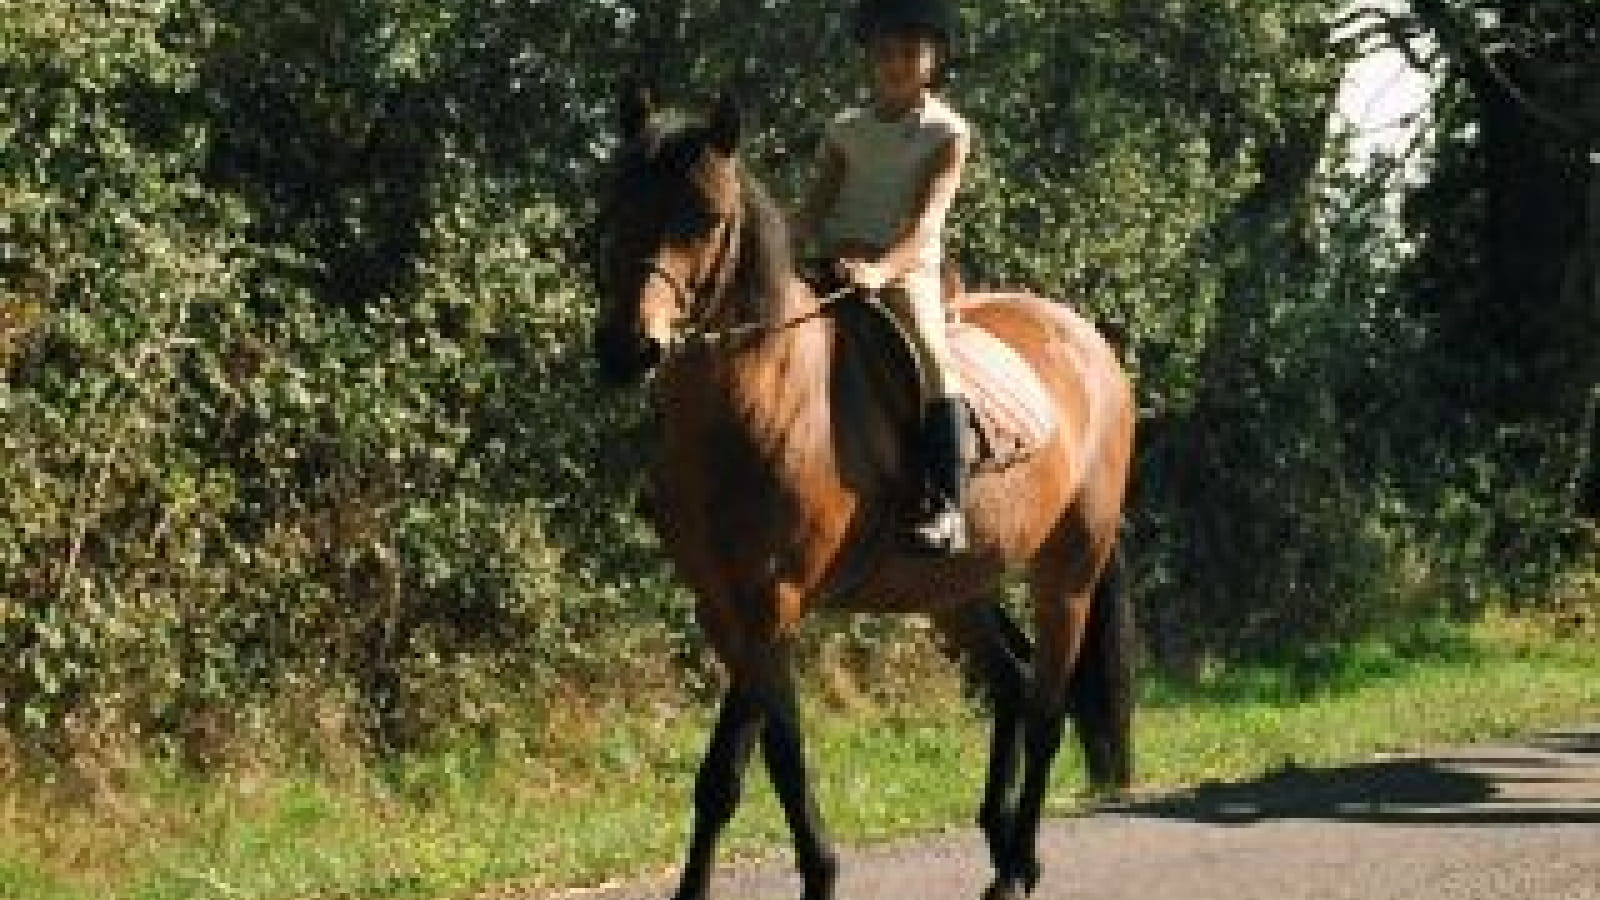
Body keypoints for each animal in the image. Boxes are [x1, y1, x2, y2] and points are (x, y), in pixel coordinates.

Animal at [592, 87, 1139, 896]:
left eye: (707, 218)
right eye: (614, 203)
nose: (628, 348)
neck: (762, 400)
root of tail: (1092, 346)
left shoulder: (771, 604)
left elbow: (777, 751)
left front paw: (821, 873)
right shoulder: (719, 606)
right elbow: (722, 775)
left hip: (1068, 572)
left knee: (1046, 711)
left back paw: (1015, 871)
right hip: (954, 589)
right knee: (1012, 680)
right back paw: (1004, 846)